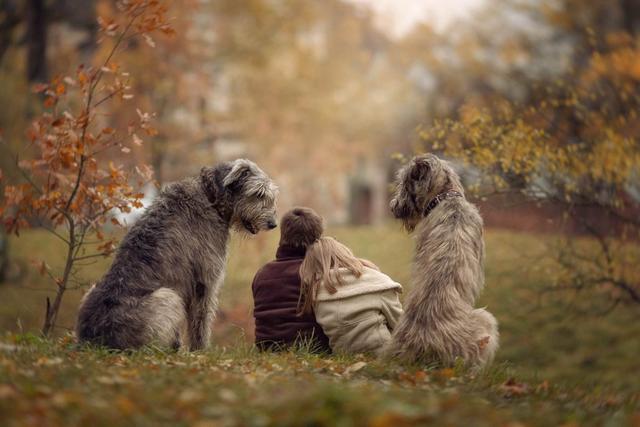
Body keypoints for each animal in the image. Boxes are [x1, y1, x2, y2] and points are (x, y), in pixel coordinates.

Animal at [75, 159, 278, 350]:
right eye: (258, 194)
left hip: (91, 290)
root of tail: (94, 338)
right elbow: (201, 321)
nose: (273, 224)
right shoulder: (205, 280)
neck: (210, 197)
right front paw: (200, 351)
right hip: (167, 297)